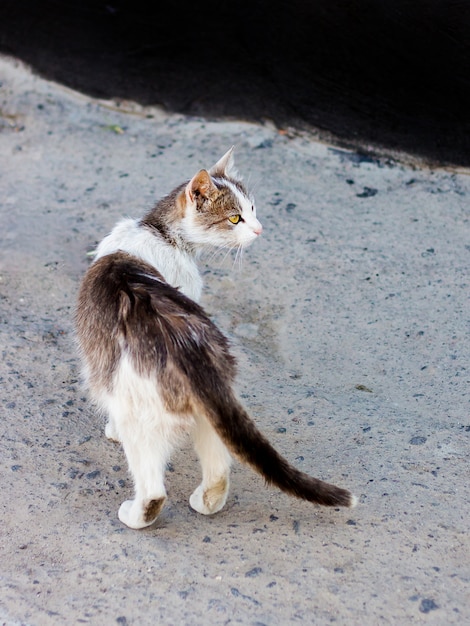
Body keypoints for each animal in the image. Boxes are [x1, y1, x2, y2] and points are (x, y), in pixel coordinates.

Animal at [74, 147, 356, 528]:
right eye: (236, 218)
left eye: (252, 209)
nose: (259, 229)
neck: (160, 233)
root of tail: (190, 350)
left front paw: (111, 430)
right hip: (212, 410)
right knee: (220, 468)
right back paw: (207, 501)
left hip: (138, 409)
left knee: (153, 490)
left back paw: (136, 514)